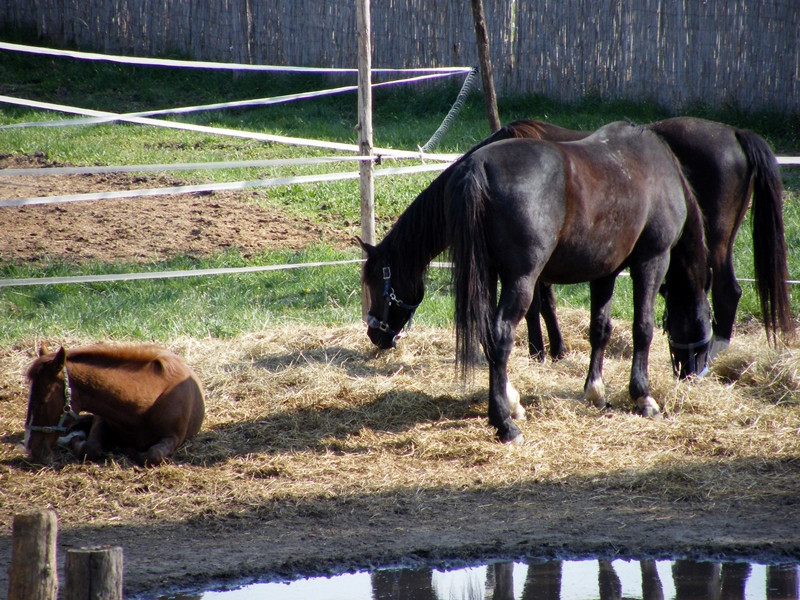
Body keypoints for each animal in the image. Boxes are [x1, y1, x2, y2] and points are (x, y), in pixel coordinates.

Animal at [25, 344, 206, 466]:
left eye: (43, 400)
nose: (32, 448)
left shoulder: (174, 437)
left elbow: (153, 455)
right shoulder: (102, 418)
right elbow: (91, 448)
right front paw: (77, 440)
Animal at [360, 120, 708, 440]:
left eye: (379, 283)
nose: (374, 333)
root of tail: (477, 170)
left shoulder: (605, 270)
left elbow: (600, 328)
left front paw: (595, 390)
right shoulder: (652, 260)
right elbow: (643, 327)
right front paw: (643, 397)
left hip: (490, 275)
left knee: (489, 334)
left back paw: (508, 406)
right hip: (521, 280)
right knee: (501, 335)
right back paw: (505, 423)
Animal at [488, 116, 792, 368]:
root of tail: (735, 133)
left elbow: (537, 305)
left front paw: (540, 351)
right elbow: (546, 303)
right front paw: (553, 350)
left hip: (713, 242)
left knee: (727, 293)